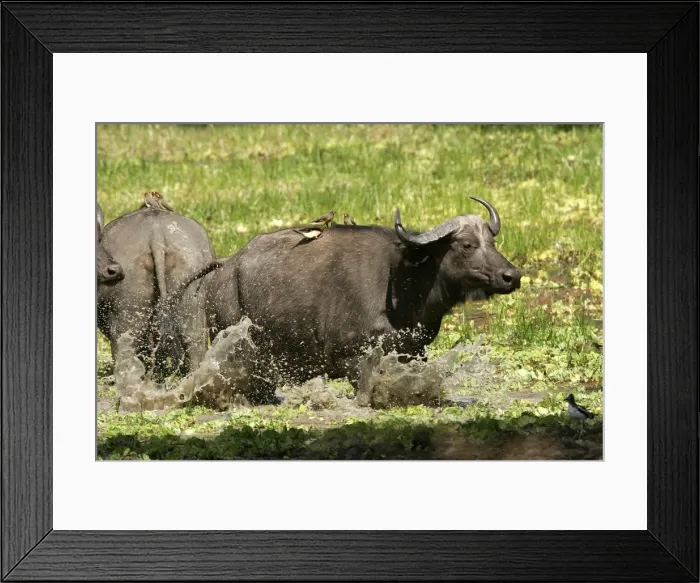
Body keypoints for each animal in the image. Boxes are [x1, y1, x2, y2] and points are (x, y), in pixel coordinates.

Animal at [204, 197, 521, 402]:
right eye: (467, 245)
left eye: (492, 242)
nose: (512, 276)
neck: (404, 284)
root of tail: (226, 268)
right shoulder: (352, 359)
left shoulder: (414, 352)